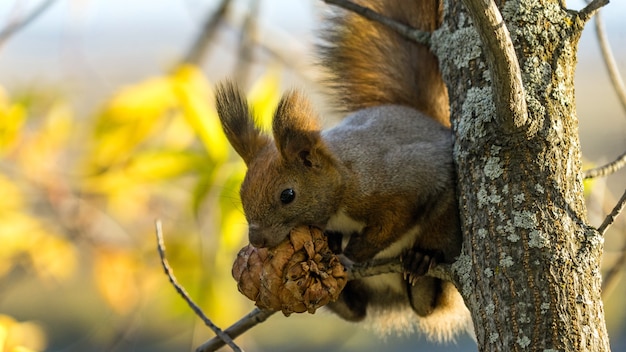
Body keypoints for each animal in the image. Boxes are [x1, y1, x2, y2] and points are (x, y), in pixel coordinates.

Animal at [217, 0, 470, 340]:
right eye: (243, 192)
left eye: (288, 195)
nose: (257, 240)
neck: (342, 181)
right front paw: (333, 244)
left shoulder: (396, 187)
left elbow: (389, 225)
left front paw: (348, 255)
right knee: (357, 310)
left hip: (444, 223)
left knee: (428, 300)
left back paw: (421, 262)